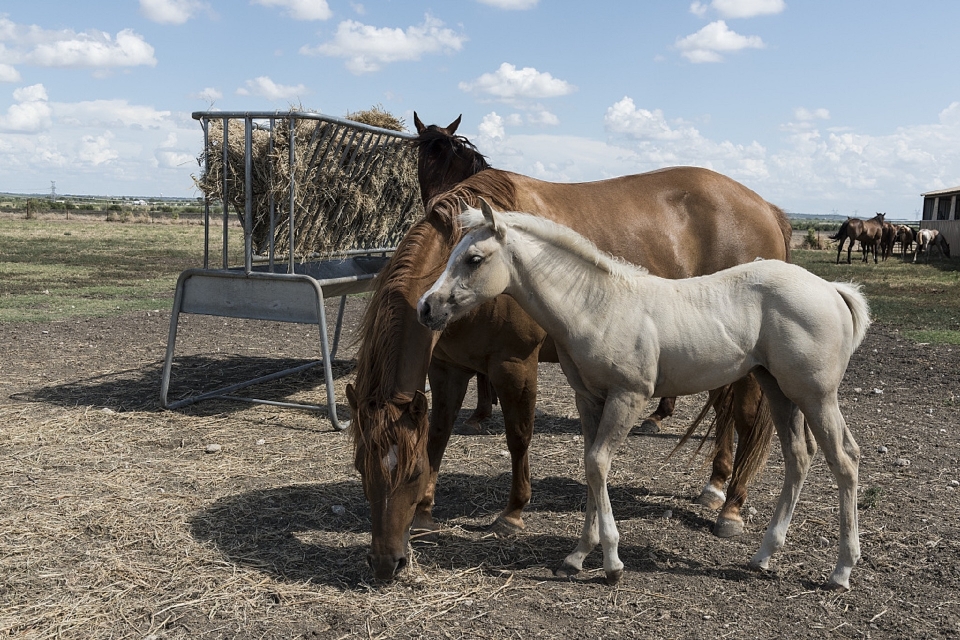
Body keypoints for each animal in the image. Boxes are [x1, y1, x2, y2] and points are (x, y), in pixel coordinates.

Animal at [348, 114, 792, 580]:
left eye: (410, 472)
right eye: (361, 466)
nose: (385, 562)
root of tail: (766, 208)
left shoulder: (514, 363)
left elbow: (519, 435)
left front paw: (512, 513)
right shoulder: (447, 367)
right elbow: (438, 433)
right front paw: (425, 512)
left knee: (744, 418)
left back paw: (731, 508)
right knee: (724, 411)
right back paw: (714, 487)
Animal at [420, 204, 872, 592]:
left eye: (473, 258)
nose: (427, 307)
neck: (597, 307)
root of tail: (832, 290)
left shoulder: (629, 397)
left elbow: (598, 463)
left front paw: (612, 564)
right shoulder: (589, 401)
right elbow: (590, 466)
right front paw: (577, 556)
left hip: (815, 394)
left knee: (845, 459)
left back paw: (841, 570)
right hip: (778, 390)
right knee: (799, 456)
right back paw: (763, 556)